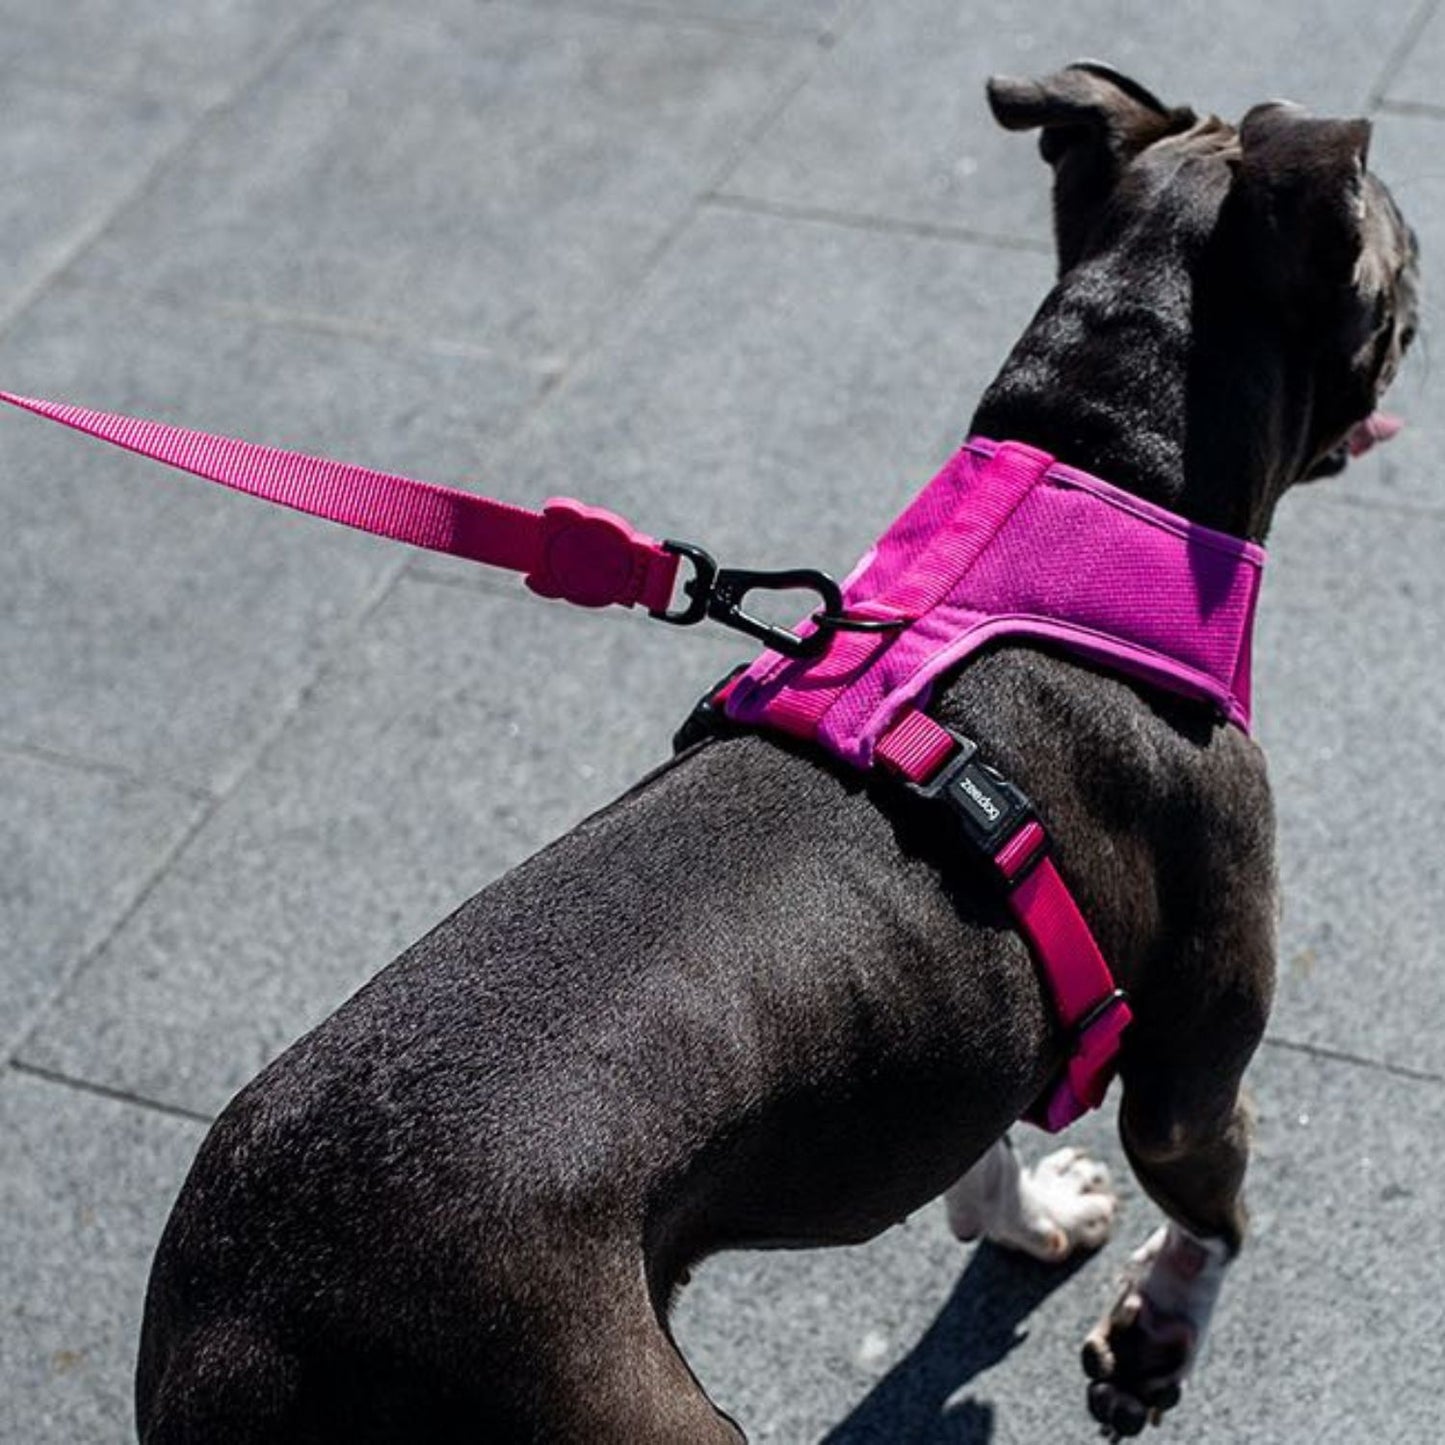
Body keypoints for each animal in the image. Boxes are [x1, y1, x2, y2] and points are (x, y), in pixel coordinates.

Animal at [132, 62, 1410, 1439]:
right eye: (1395, 247)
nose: (1418, 278)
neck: (1091, 473)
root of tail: (251, 1339)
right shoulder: (1190, 1069)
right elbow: (1213, 1212)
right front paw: (1156, 1325)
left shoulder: (964, 1028)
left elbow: (978, 1156)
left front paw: (1030, 1217)